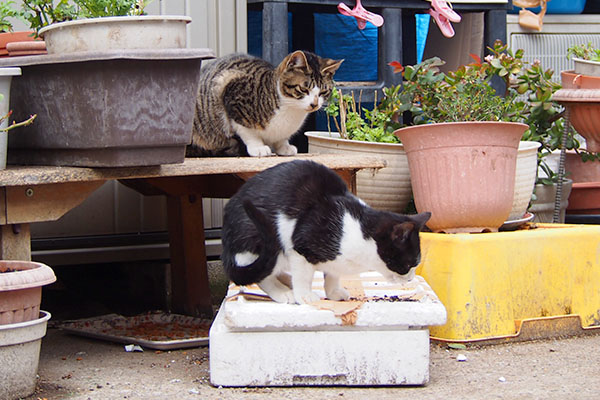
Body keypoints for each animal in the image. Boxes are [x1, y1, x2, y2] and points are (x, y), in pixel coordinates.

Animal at [188, 52, 342, 158]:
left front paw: (284, 147)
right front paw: (258, 147)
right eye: (303, 89)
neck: (291, 109)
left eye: (324, 91)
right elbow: (247, 131)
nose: (314, 104)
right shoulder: (229, 91)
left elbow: (281, 138)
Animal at [220, 159, 432, 304]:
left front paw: (333, 292)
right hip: (258, 238)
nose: (411, 278)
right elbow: (303, 275)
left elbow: (332, 274)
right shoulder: (302, 246)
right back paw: (284, 292)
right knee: (262, 275)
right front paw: (304, 295)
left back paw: (287, 281)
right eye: (409, 264)